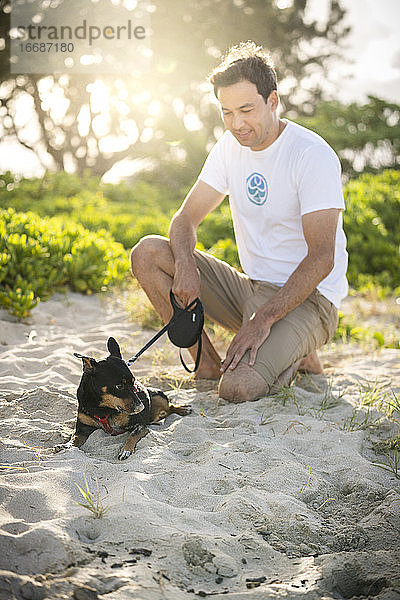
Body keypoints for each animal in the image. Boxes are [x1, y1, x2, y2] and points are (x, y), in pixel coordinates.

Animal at [54, 338, 191, 460]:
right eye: (119, 386)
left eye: (134, 383)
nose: (141, 407)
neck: (101, 408)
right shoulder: (82, 429)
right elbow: (74, 439)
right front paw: (65, 445)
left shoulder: (140, 426)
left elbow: (132, 435)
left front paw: (126, 450)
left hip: (158, 395)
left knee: (169, 406)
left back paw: (183, 409)